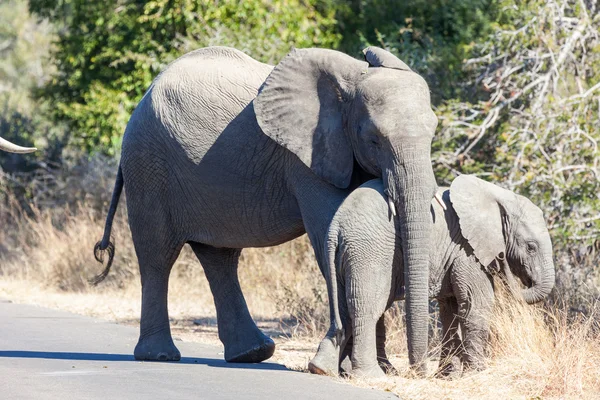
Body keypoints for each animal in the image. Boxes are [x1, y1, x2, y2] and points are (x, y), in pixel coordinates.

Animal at [95, 46, 440, 368]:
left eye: (433, 134)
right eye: (373, 139)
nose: (419, 368)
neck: (351, 81)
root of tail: (144, 96)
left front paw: (376, 367)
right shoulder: (307, 156)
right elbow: (325, 231)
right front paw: (338, 365)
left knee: (219, 257)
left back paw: (252, 353)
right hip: (148, 164)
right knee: (158, 254)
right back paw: (160, 356)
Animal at [312, 175, 556, 378]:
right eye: (531, 247)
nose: (501, 257)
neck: (498, 197)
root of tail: (336, 226)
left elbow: (451, 308)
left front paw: (448, 375)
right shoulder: (466, 251)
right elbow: (476, 304)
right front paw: (477, 373)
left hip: (347, 254)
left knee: (343, 307)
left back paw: (321, 368)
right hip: (370, 252)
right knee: (367, 307)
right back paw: (371, 376)